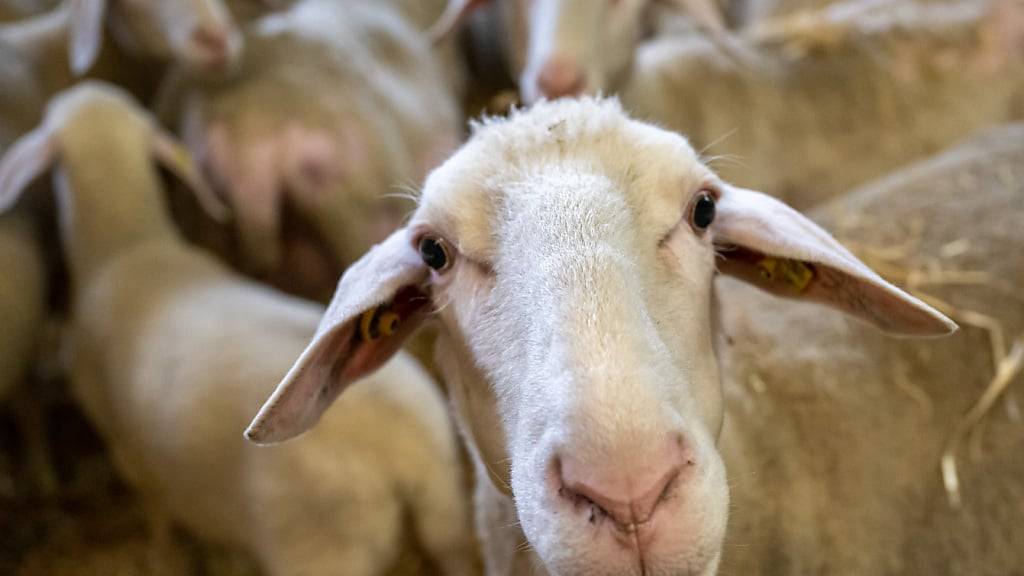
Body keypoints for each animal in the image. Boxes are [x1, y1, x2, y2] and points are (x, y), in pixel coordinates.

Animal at [0, 80, 475, 573]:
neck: (127, 247)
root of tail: (406, 451)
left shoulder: (128, 452)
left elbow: (158, 513)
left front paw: (162, 555)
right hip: (446, 516)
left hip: (322, 549)